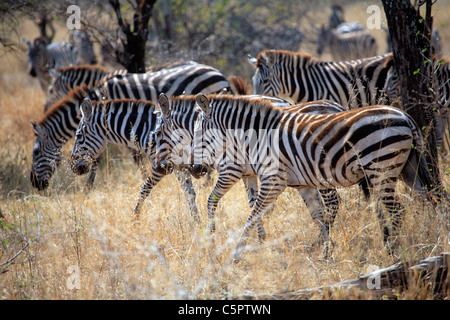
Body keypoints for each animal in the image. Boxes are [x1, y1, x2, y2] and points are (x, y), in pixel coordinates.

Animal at [154, 92, 348, 248]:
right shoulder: (248, 173)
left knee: (332, 201)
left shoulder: (231, 170)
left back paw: (323, 240)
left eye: (157, 134)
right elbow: (253, 203)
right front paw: (261, 237)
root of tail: (337, 106)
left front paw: (211, 234)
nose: (159, 167)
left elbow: (212, 200)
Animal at [192, 94, 436, 260]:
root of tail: (405, 116)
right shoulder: (304, 185)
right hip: (408, 169)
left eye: (199, 134)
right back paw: (428, 238)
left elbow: (252, 215)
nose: (195, 170)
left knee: (397, 210)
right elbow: (318, 215)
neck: (256, 138)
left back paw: (393, 250)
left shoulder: (273, 180)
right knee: (425, 199)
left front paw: (236, 253)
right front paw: (326, 252)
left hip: (381, 169)